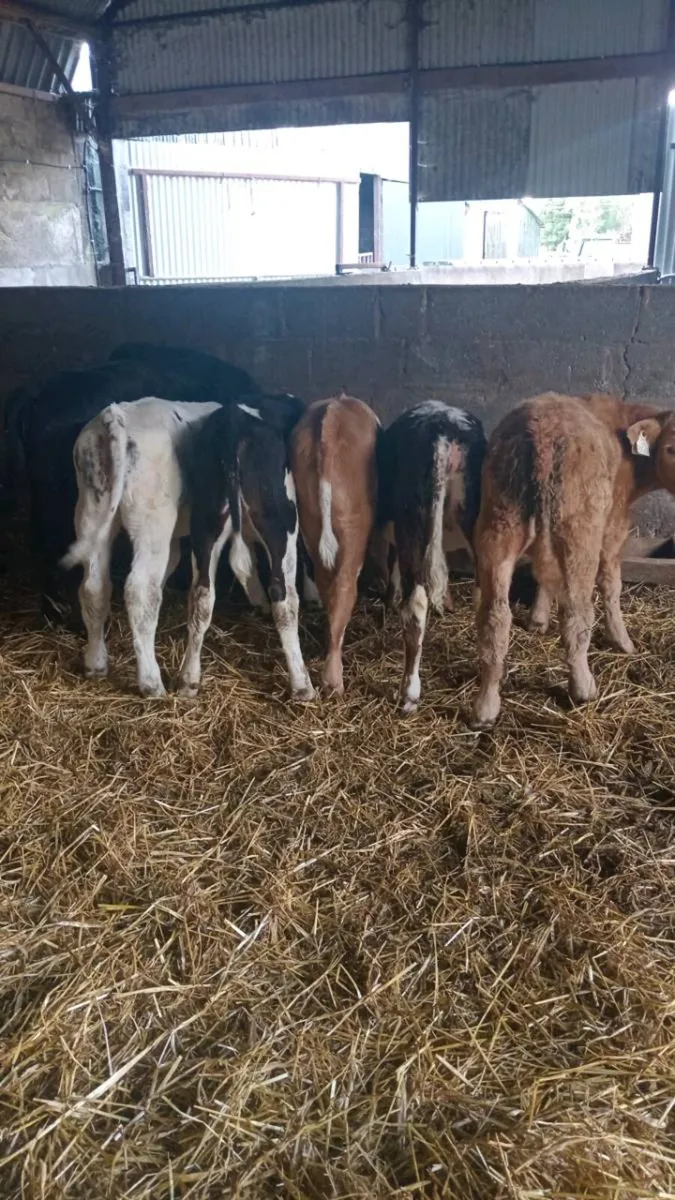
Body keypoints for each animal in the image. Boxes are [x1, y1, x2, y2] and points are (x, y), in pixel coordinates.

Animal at [178, 397, 314, 702]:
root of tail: (233, 422)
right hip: (280, 519)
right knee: (283, 597)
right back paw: (302, 684)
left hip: (204, 522)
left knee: (201, 595)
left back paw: (188, 680)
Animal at [472, 392, 675, 727]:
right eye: (671, 448)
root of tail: (541, 435)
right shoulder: (614, 524)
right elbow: (611, 584)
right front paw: (623, 641)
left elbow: (544, 575)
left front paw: (538, 620)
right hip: (579, 531)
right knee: (577, 615)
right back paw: (583, 688)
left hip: (499, 521)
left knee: (495, 617)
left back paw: (486, 705)